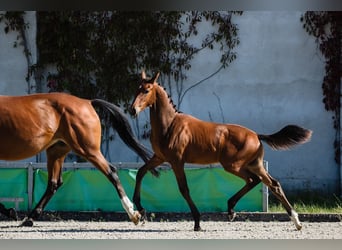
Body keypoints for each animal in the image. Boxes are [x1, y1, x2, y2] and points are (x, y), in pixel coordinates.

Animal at [0, 92, 156, 227]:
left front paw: (10, 212)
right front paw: (10, 211)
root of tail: (87, 102)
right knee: (54, 183)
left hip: (87, 149)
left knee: (111, 172)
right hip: (56, 151)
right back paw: (30, 217)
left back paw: (133, 214)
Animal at [130, 71, 312, 231]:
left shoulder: (177, 161)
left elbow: (184, 189)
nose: (133, 110)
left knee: (256, 180)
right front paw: (141, 211)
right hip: (254, 164)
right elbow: (140, 172)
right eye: (136, 88)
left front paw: (197, 222)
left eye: (146, 90)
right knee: (270, 183)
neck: (170, 125)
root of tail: (256, 135)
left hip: (233, 165)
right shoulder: (159, 157)